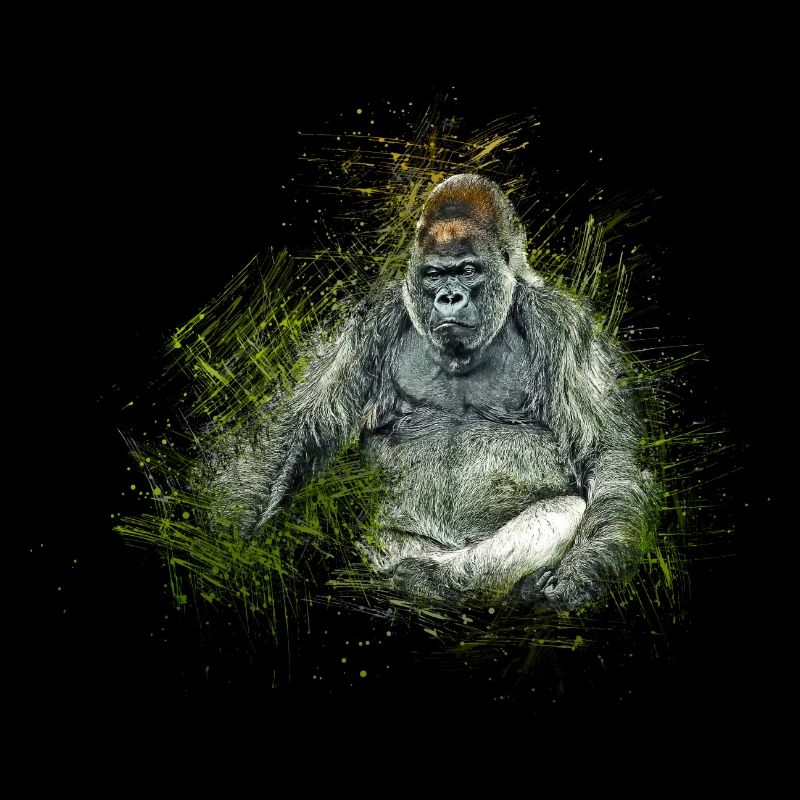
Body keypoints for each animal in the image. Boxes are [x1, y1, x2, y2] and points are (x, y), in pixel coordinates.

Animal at [215, 174, 657, 610]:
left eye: (467, 271)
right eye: (434, 275)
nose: (449, 297)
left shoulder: (563, 324)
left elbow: (605, 456)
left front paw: (585, 570)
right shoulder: (370, 320)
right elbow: (304, 430)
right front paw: (241, 541)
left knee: (561, 512)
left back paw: (441, 580)